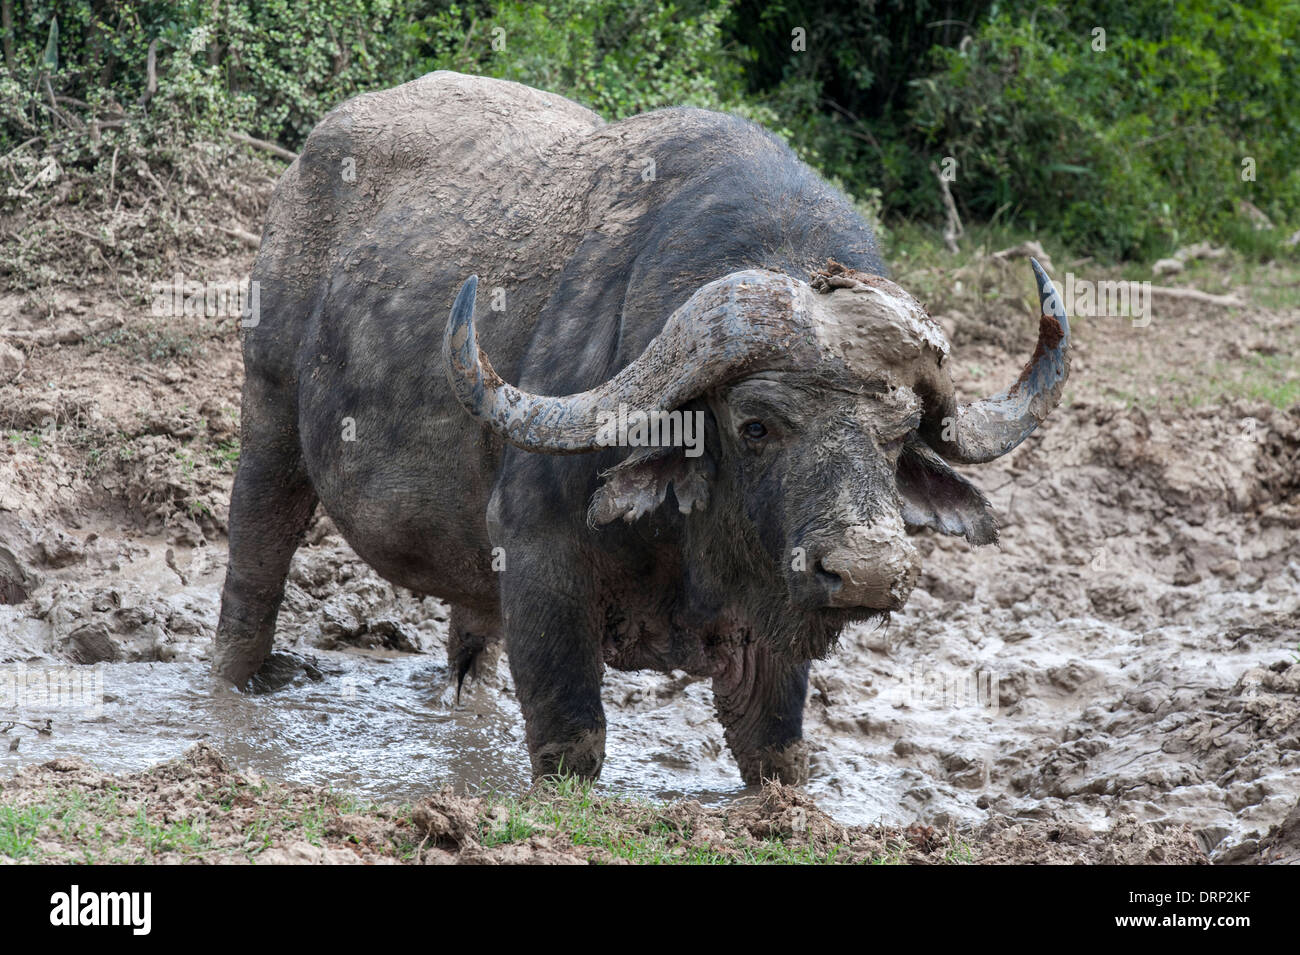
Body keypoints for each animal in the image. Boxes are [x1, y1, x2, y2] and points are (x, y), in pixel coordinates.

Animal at [218, 69, 1071, 784]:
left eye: (899, 432)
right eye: (755, 424)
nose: (864, 571)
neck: (691, 544)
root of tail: (307, 165)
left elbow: (776, 751)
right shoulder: (542, 559)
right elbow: (572, 742)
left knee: (471, 643)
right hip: (270, 420)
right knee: (255, 570)